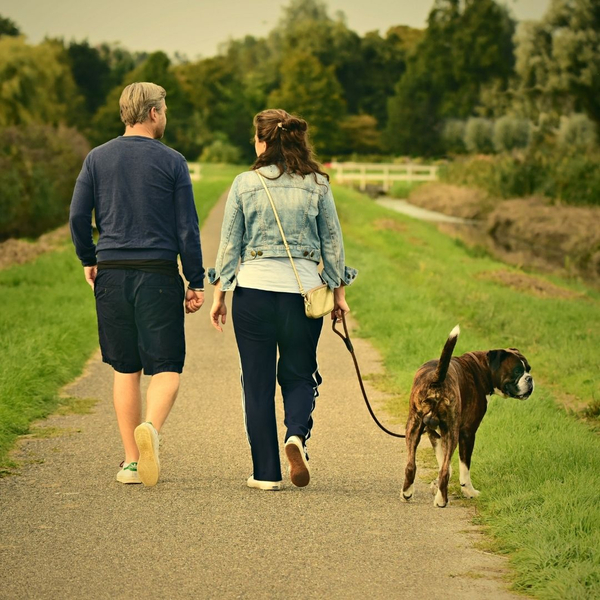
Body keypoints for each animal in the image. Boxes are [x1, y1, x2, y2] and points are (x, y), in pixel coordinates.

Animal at [400, 326, 532, 508]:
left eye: (529, 369)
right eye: (517, 371)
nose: (530, 379)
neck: (482, 368)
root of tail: (436, 379)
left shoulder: (434, 433)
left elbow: (445, 464)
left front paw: (437, 485)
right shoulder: (467, 433)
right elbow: (463, 467)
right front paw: (469, 491)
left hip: (414, 427)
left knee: (411, 465)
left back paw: (407, 493)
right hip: (452, 431)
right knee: (443, 470)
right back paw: (442, 501)